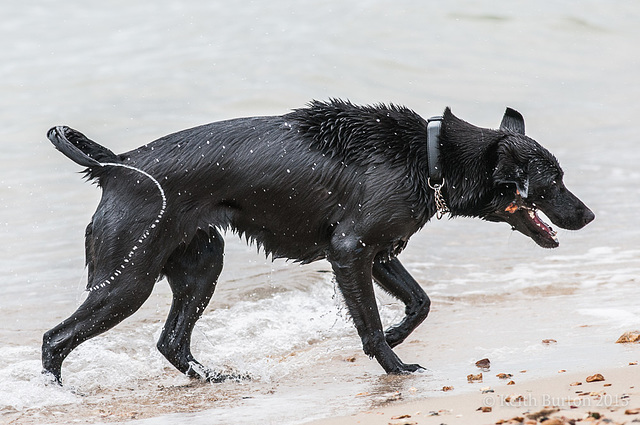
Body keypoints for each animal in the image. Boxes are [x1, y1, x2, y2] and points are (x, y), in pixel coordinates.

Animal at [42, 100, 596, 384]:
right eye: (553, 182)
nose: (589, 215)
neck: (431, 156)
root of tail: (114, 165)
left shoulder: (379, 253)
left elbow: (420, 303)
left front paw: (397, 337)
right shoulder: (351, 251)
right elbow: (370, 322)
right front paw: (394, 364)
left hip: (201, 266)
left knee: (171, 340)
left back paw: (217, 378)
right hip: (127, 281)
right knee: (55, 340)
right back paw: (58, 394)